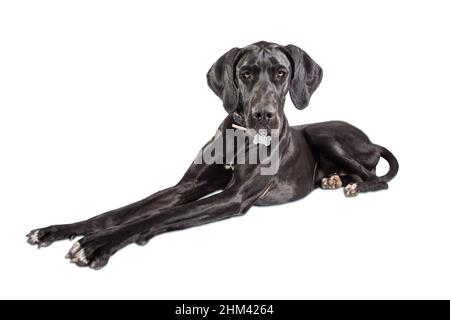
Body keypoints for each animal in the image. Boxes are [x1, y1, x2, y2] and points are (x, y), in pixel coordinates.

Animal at [27, 41, 398, 268]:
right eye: (245, 74)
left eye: (281, 73)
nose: (263, 115)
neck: (240, 138)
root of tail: (370, 139)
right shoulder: (186, 187)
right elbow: (122, 211)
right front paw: (59, 230)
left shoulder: (234, 197)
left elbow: (158, 216)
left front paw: (98, 244)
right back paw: (335, 179)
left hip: (323, 134)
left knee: (376, 178)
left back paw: (353, 184)